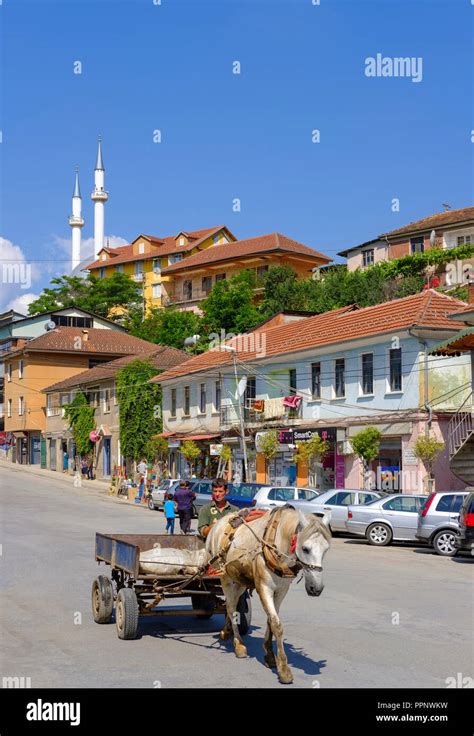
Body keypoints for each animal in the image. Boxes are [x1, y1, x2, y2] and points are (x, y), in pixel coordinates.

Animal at [206, 506, 332, 684]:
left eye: (326, 549)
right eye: (305, 549)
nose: (317, 589)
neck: (278, 543)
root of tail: (217, 525)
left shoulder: (281, 590)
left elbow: (271, 620)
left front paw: (270, 655)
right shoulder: (264, 588)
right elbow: (277, 624)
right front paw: (284, 669)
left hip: (240, 581)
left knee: (233, 605)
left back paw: (226, 630)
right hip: (225, 577)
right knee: (230, 607)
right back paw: (239, 644)